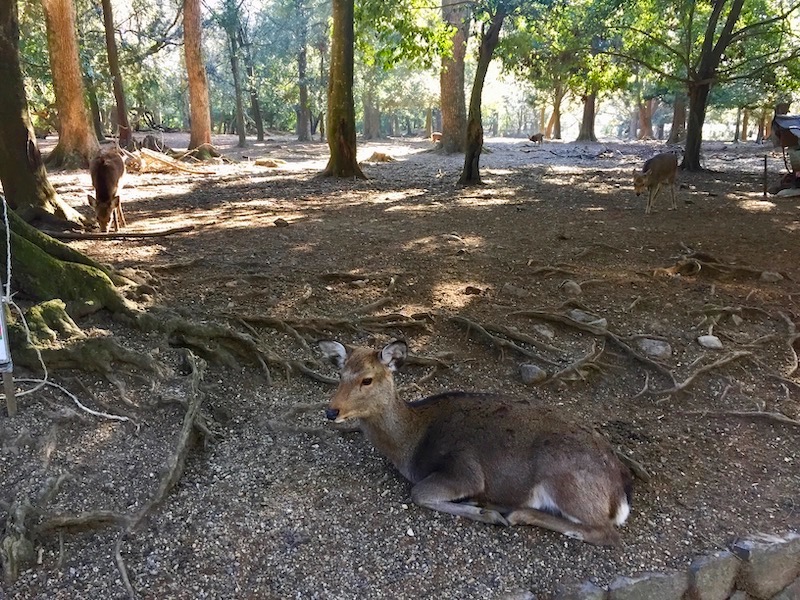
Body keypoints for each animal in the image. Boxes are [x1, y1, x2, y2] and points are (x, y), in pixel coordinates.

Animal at [316, 340, 636, 548]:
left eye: (367, 380)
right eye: (340, 374)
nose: (331, 411)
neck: (411, 444)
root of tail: (620, 491)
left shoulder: (464, 469)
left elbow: (418, 493)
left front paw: (487, 513)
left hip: (565, 481)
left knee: (606, 533)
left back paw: (513, 513)